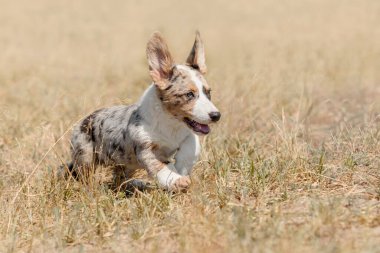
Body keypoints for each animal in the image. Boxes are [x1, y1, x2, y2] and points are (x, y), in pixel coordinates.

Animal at [66, 31, 220, 190]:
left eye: (208, 92)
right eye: (189, 94)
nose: (216, 116)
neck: (171, 124)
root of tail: (82, 121)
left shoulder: (188, 135)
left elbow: (191, 148)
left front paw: (181, 168)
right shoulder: (145, 149)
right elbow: (159, 167)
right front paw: (177, 180)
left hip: (126, 166)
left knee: (119, 180)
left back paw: (137, 183)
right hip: (85, 158)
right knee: (84, 177)